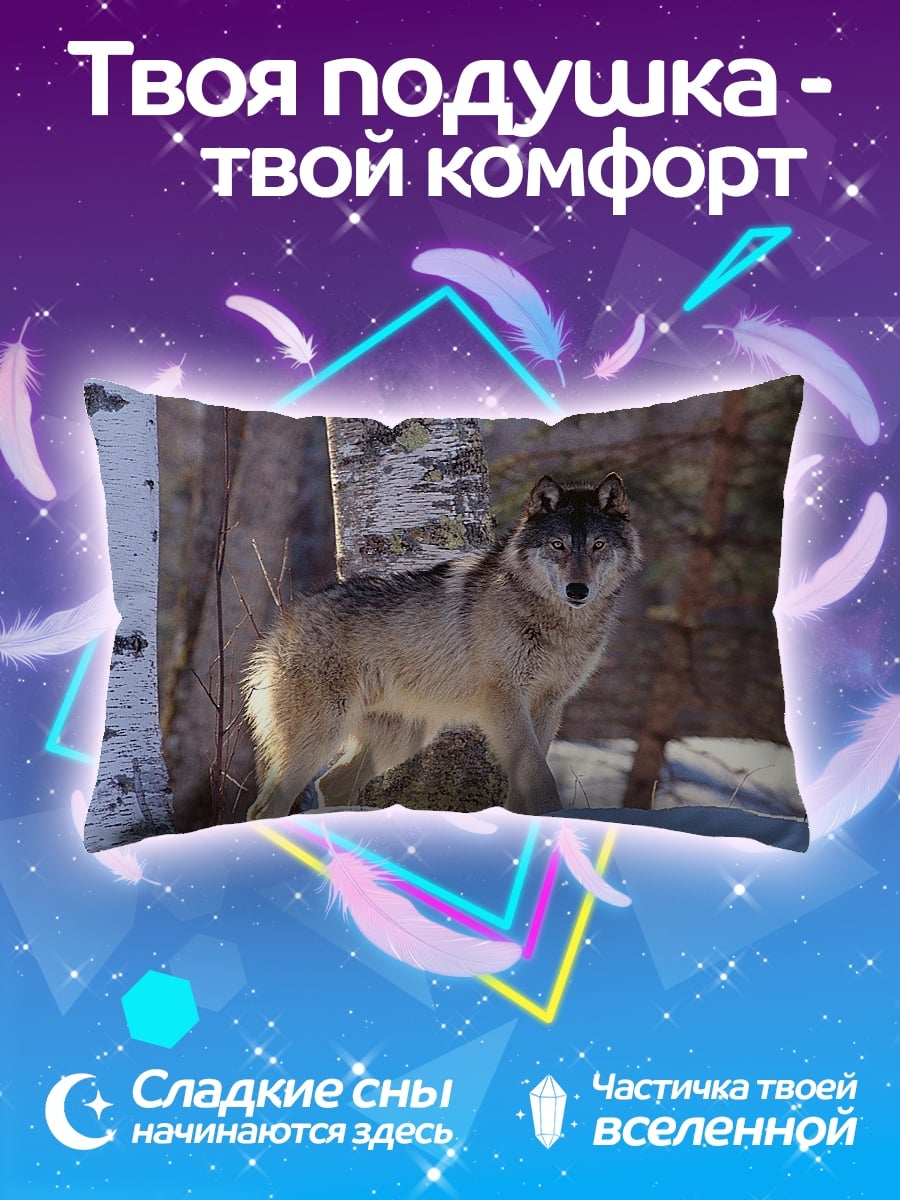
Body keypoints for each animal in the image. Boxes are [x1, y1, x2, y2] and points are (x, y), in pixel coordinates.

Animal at [243, 472, 641, 820]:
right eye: (557, 545)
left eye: (598, 546)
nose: (578, 590)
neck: (558, 625)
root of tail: (284, 622)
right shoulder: (503, 698)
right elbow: (538, 773)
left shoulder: (549, 704)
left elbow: (527, 774)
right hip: (322, 734)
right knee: (265, 807)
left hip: (403, 739)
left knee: (332, 783)